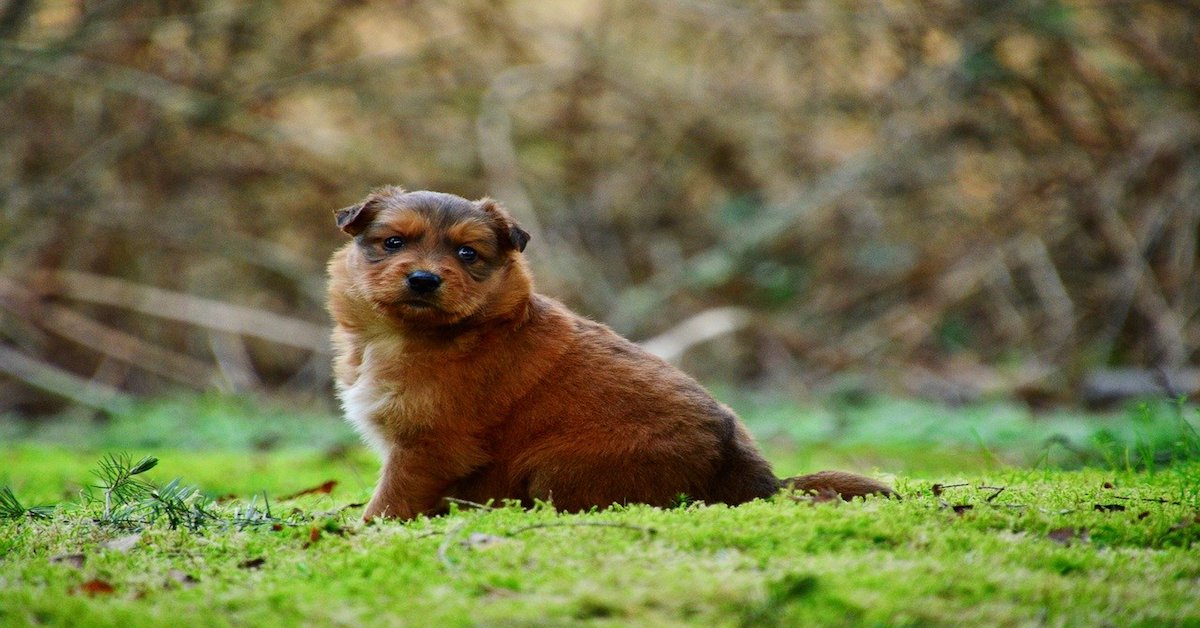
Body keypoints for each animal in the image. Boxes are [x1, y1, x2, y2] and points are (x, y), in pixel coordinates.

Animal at [326, 187, 892, 521]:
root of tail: (758, 483)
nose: (424, 279)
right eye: (394, 243)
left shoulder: (431, 444)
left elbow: (392, 497)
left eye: (468, 254)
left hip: (553, 465)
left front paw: (365, 528)